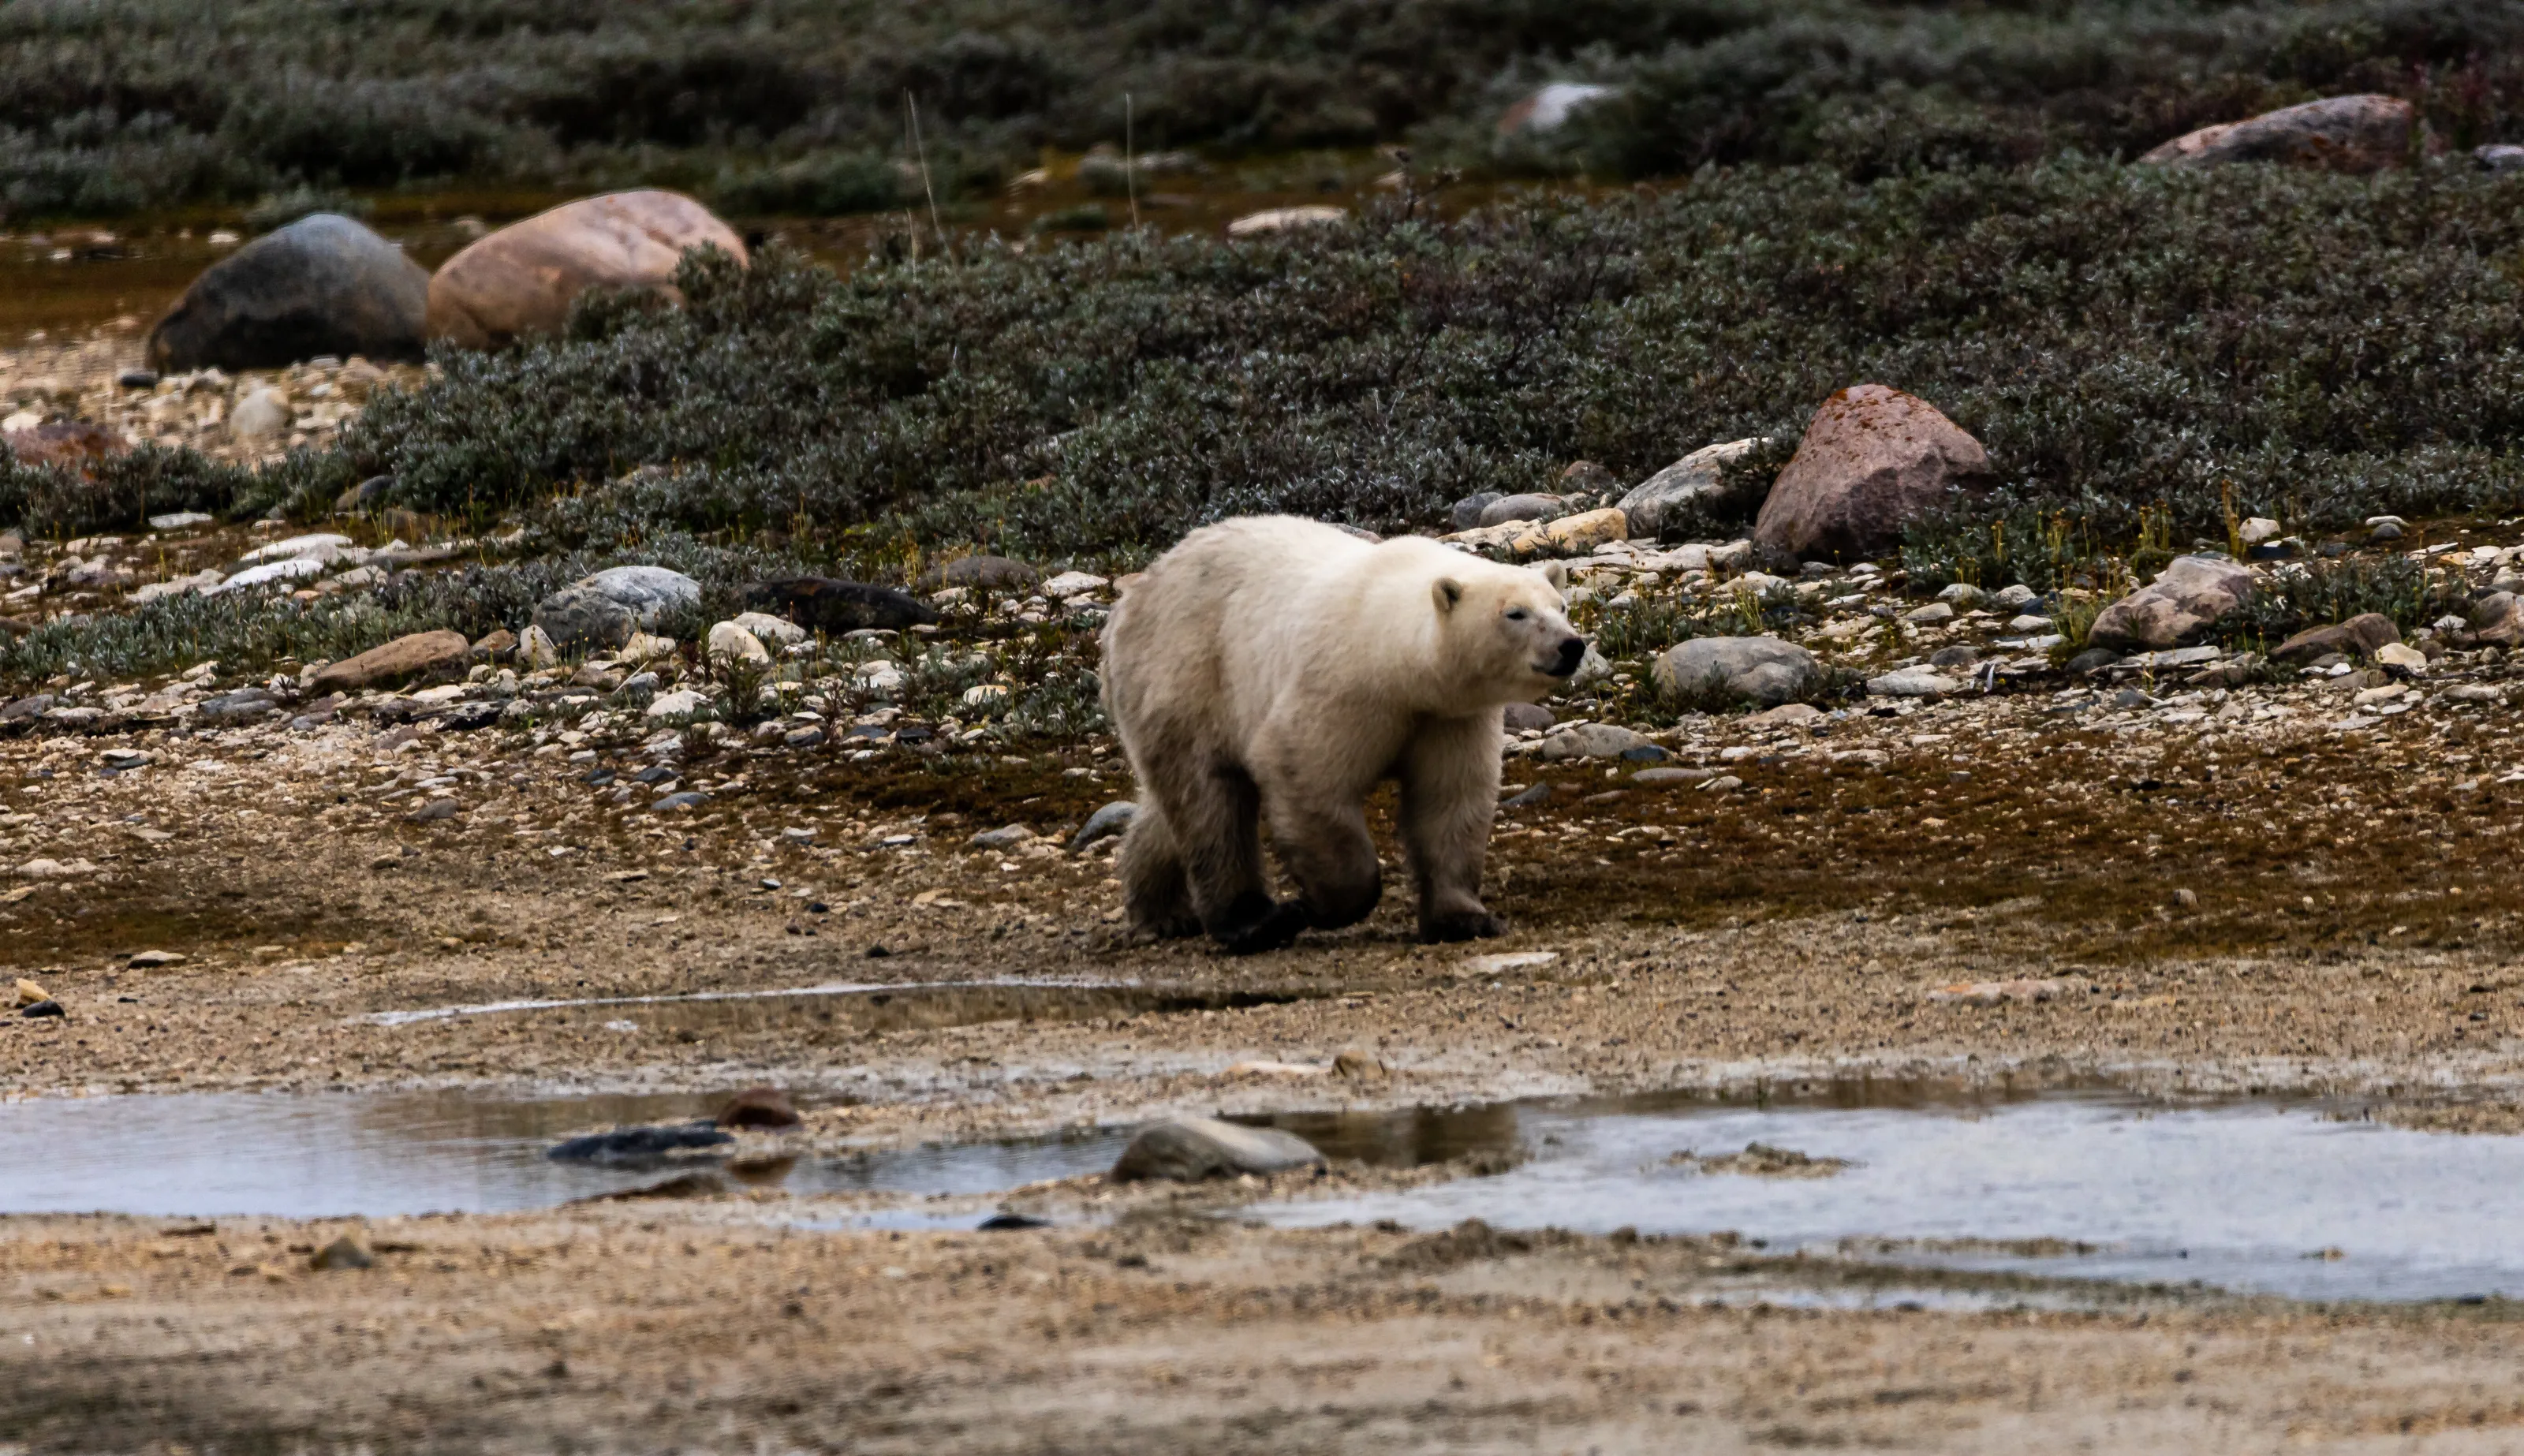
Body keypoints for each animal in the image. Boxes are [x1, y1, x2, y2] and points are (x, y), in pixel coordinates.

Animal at [1100, 515, 1587, 954]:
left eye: (1560, 606)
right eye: (1516, 613)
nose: (1572, 645)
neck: (1396, 656)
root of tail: (1133, 599)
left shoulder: (1448, 717)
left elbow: (1451, 801)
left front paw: (1466, 919)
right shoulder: (1344, 687)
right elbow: (1303, 774)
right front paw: (1320, 906)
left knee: (1175, 807)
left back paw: (1164, 912)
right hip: (1187, 671)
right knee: (1210, 801)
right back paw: (1255, 923)